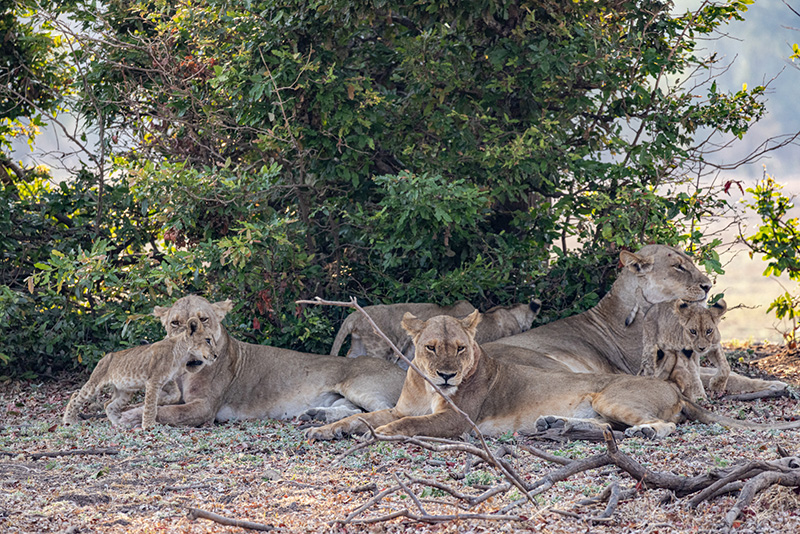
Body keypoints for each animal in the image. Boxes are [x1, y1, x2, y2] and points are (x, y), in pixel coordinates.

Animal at [63, 318, 217, 432]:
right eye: (208, 340)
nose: (216, 355)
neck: (183, 356)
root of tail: (105, 357)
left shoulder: (167, 380)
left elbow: (175, 395)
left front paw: (161, 401)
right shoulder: (153, 381)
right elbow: (150, 404)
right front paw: (149, 425)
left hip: (124, 392)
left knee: (108, 404)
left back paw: (118, 423)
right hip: (95, 383)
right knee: (76, 396)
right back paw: (68, 420)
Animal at [308, 312, 800, 442]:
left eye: (461, 348)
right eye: (431, 347)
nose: (447, 374)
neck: (426, 385)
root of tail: (673, 389)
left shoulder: (456, 421)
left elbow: (407, 423)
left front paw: (381, 434)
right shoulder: (401, 404)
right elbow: (366, 416)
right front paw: (330, 428)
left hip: (610, 395)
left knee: (663, 425)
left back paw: (645, 432)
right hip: (600, 406)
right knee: (603, 428)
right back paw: (553, 423)